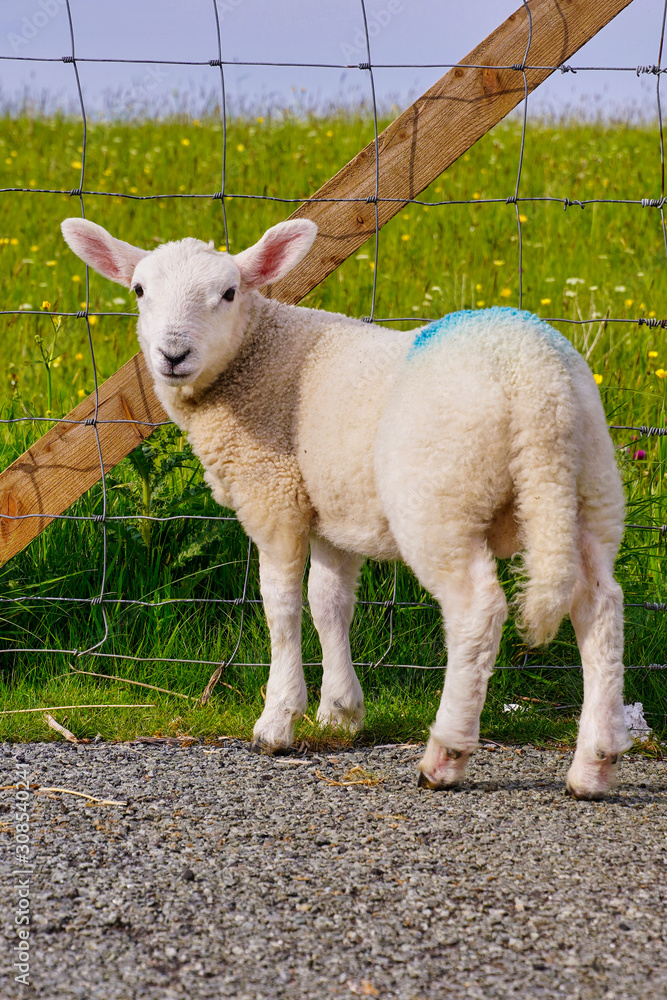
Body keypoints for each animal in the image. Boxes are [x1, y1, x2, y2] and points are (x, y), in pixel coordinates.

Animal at [60, 216, 632, 800]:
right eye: (139, 290)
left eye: (229, 292)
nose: (172, 355)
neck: (256, 357)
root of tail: (537, 383)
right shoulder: (332, 510)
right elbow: (329, 601)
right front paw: (340, 711)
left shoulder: (274, 495)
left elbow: (282, 603)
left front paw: (278, 719)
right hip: (590, 491)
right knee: (600, 607)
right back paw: (594, 764)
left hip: (441, 498)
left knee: (478, 611)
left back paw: (446, 756)